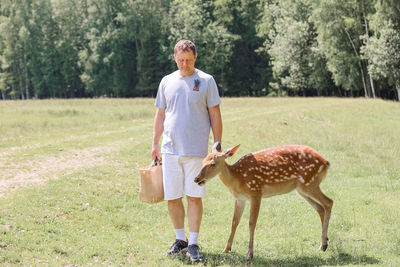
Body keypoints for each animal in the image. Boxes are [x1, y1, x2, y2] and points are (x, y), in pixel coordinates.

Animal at [195, 142, 332, 262]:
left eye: (213, 163)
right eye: (203, 161)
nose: (196, 178)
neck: (238, 179)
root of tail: (326, 162)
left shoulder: (256, 192)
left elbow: (251, 223)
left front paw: (249, 254)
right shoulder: (240, 199)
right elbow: (234, 222)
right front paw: (225, 249)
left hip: (309, 182)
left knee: (329, 202)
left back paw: (324, 244)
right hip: (302, 189)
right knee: (320, 208)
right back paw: (322, 244)